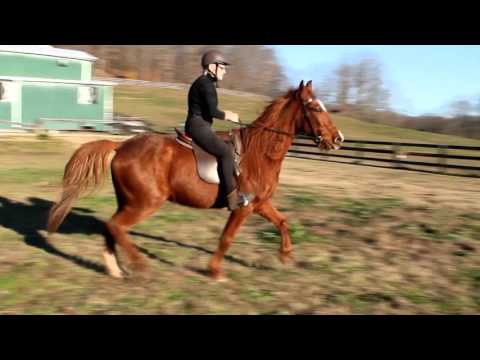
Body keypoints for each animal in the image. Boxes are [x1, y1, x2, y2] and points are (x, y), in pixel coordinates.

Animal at [47, 81, 344, 282]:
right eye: (315, 107)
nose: (338, 138)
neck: (260, 152)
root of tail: (121, 146)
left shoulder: (260, 203)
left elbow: (282, 222)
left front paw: (286, 256)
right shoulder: (244, 207)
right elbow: (226, 238)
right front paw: (215, 271)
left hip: (129, 201)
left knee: (112, 226)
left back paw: (114, 268)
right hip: (145, 203)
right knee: (117, 227)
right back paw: (140, 267)